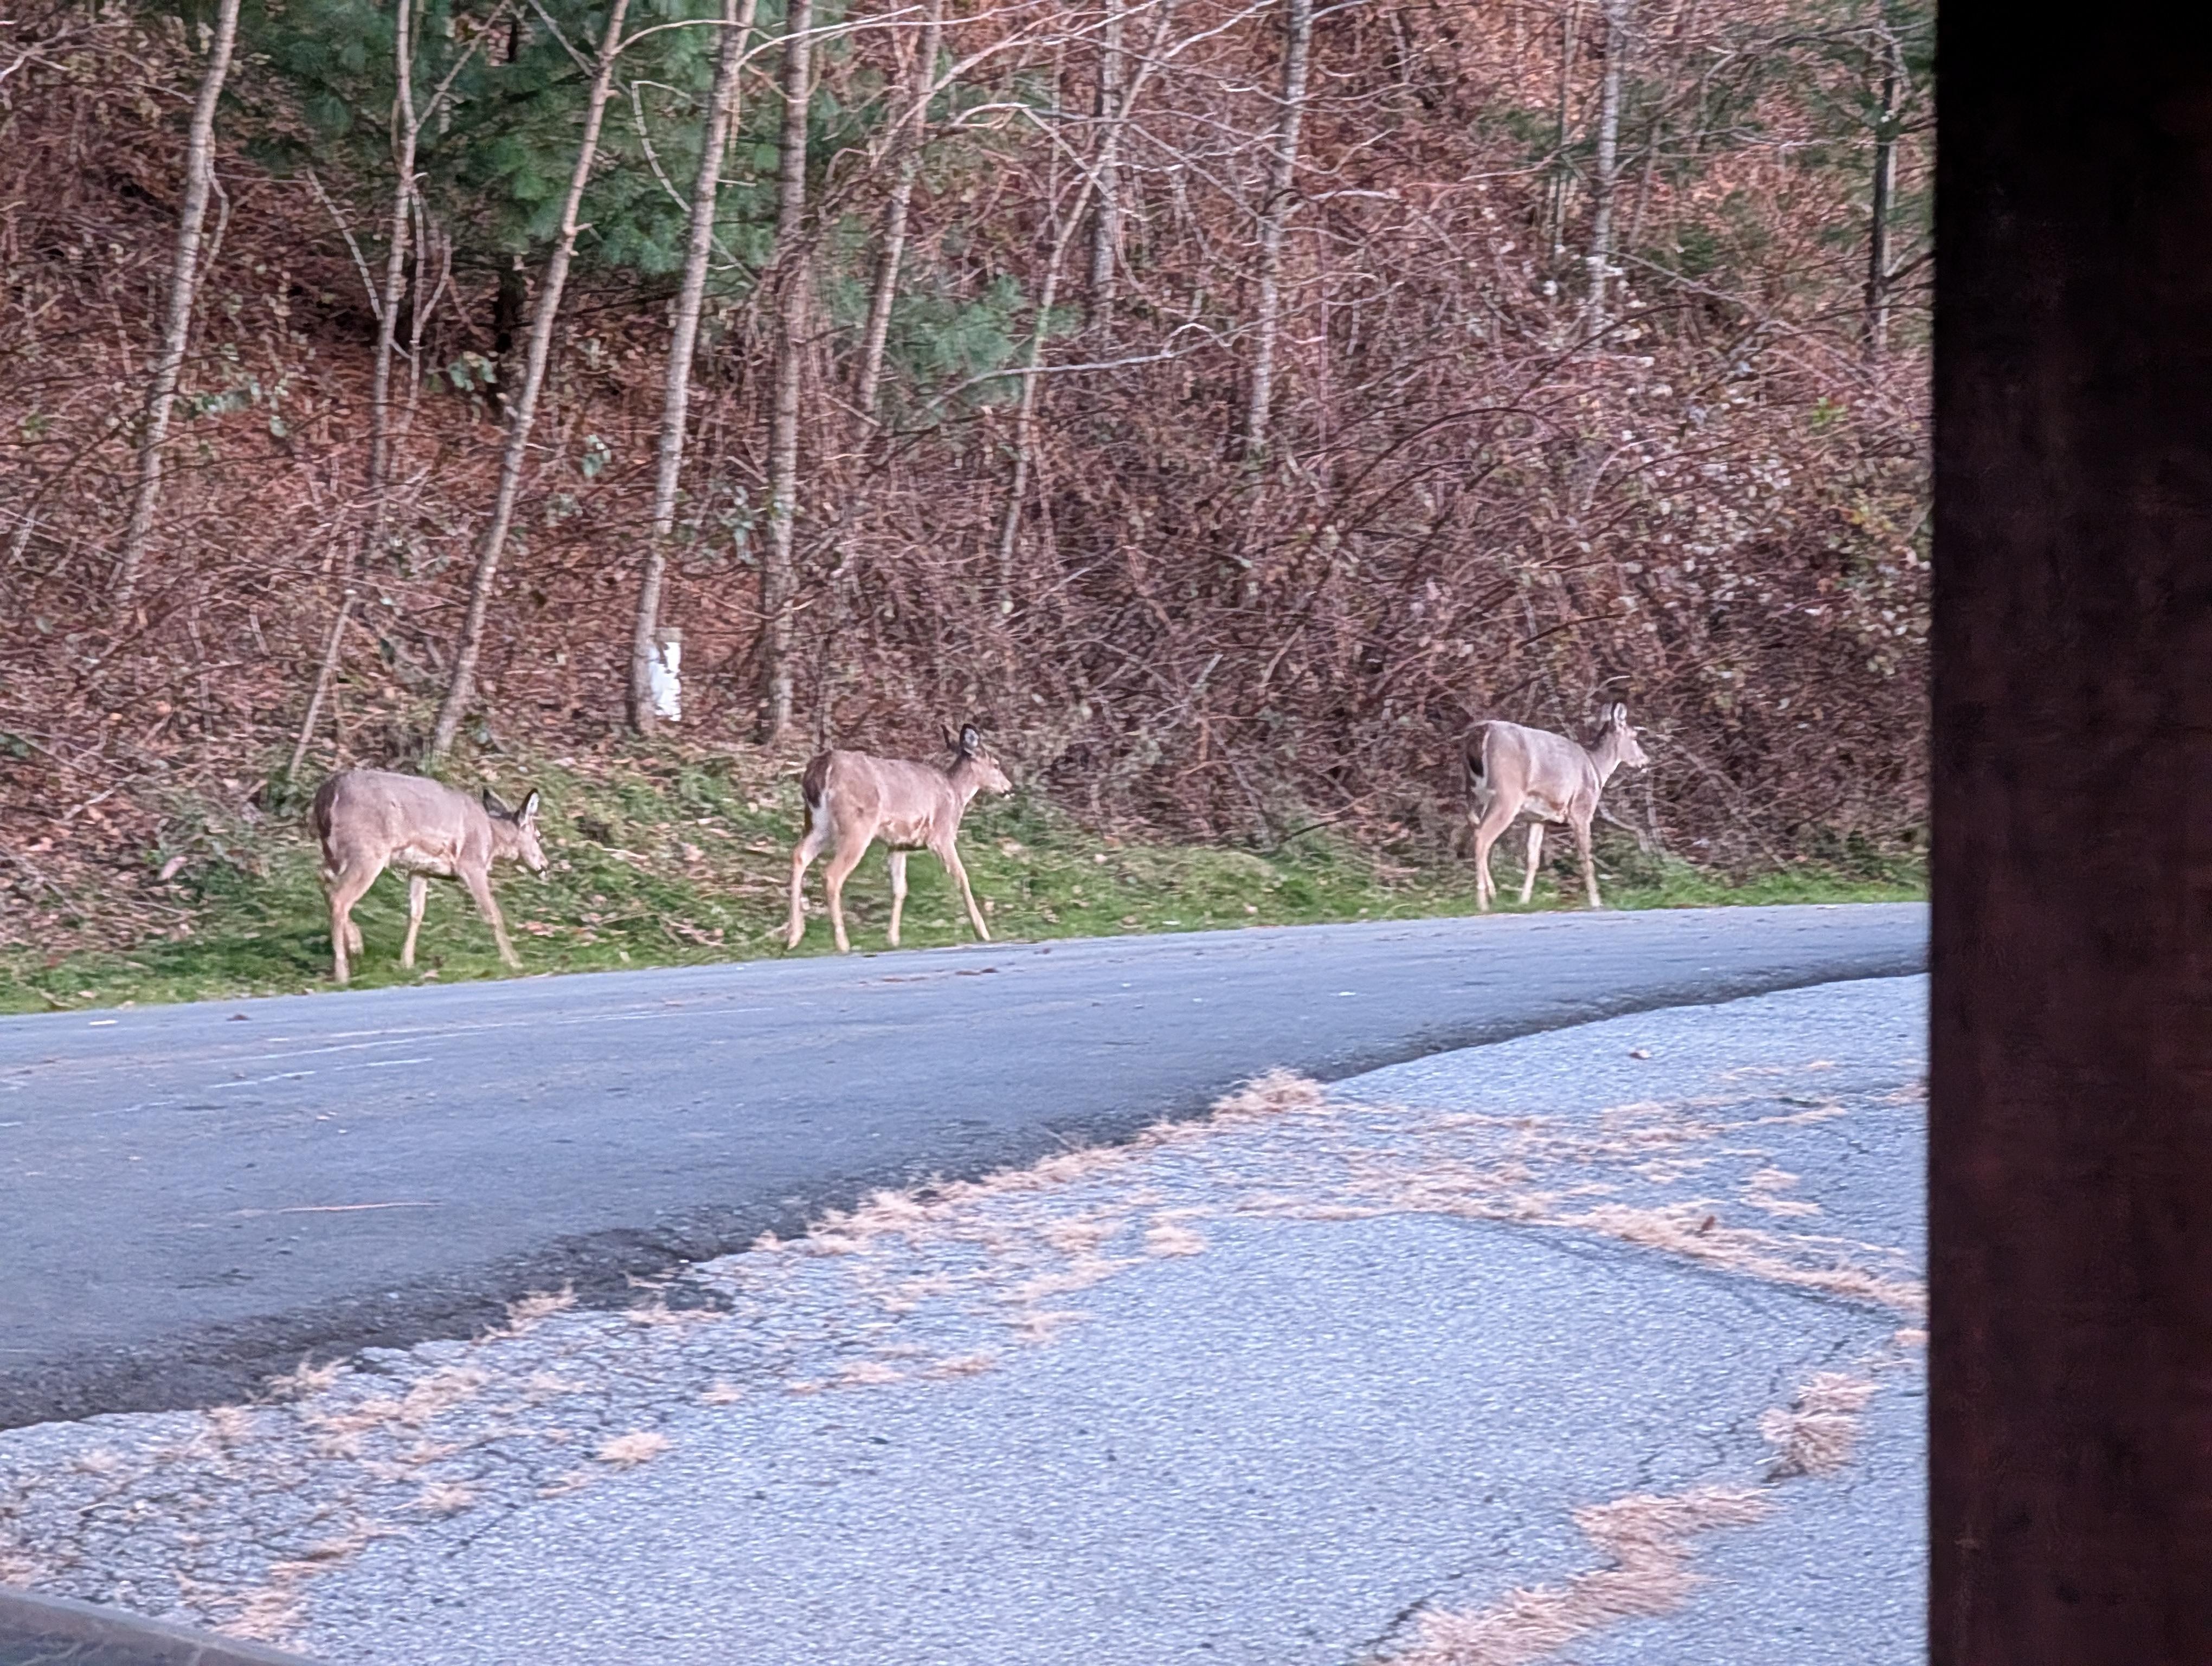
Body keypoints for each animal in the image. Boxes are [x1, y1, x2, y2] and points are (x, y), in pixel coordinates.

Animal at [311, 768, 548, 985]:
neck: (492, 838)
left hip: (335, 851)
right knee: (340, 898)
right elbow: (493, 914)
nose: (545, 865)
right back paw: (343, 973)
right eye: (538, 836)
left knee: (324, 878)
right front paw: (514, 961)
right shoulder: (471, 864)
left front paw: (406, 963)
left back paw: (355, 945)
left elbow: (416, 913)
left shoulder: (419, 869)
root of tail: (328, 794)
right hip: (367, 851)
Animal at [786, 724, 1013, 954]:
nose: (1009, 788)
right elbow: (961, 877)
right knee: (832, 874)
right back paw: (842, 943)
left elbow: (900, 889)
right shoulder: (941, 835)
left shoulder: (897, 844)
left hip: (818, 823)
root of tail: (824, 766)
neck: (956, 794)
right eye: (995, 765)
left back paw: (794, 936)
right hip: (857, 825)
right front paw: (982, 932)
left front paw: (893, 938)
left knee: (799, 855)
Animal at [1463, 702, 1650, 912]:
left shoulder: (1537, 817)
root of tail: (1482, 733)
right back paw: (1483, 903)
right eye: (1634, 737)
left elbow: (1533, 859)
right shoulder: (1581, 810)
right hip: (1506, 795)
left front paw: (1524, 901)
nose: (1645, 761)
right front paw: (1596, 902)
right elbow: (1586, 857)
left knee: (1476, 829)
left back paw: (1493, 894)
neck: (1597, 770)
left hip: (1472, 794)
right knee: (1482, 837)